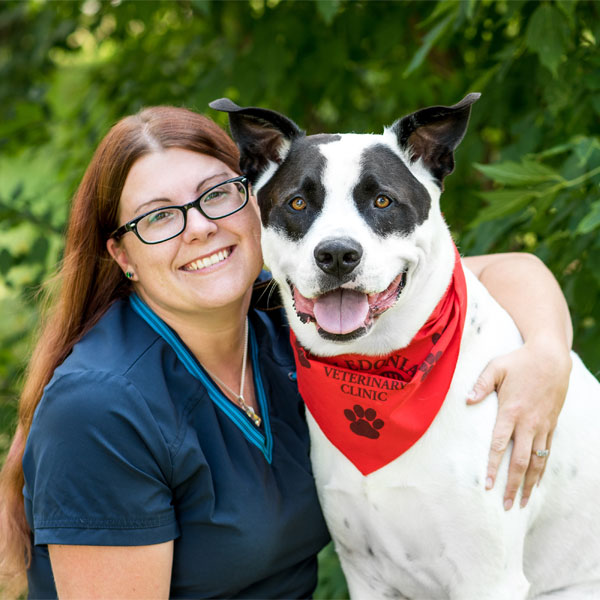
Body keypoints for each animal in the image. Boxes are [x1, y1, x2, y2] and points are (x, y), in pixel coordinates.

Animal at [211, 96, 600, 596]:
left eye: (382, 200)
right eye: (298, 202)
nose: (337, 255)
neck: (381, 369)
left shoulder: (488, 577)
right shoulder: (365, 574)